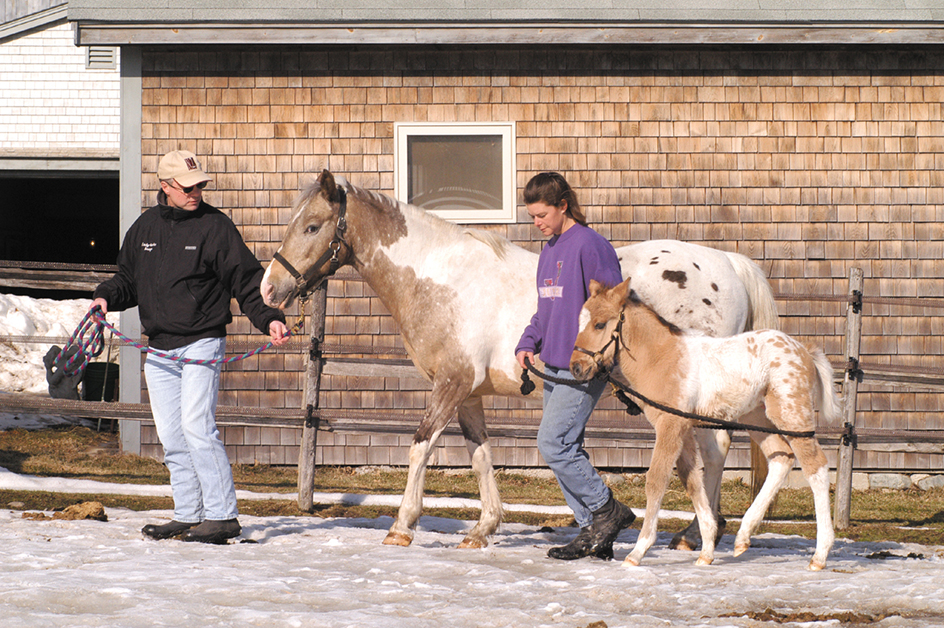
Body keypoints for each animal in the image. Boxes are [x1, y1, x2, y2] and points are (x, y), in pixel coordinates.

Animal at [262, 170, 780, 548]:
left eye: (312, 226)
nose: (270, 288)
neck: (442, 281)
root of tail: (728, 265)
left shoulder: (449, 384)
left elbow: (420, 446)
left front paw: (402, 526)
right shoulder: (468, 393)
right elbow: (480, 456)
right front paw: (483, 528)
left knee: (714, 450)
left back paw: (698, 532)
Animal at [572, 278, 836, 568]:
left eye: (599, 324)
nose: (576, 368)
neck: (663, 358)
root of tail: (804, 351)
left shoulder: (670, 425)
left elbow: (656, 480)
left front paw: (638, 552)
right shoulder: (685, 429)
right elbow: (691, 479)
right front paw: (706, 549)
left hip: (791, 414)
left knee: (816, 467)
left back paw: (820, 555)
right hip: (756, 417)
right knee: (781, 457)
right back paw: (743, 537)